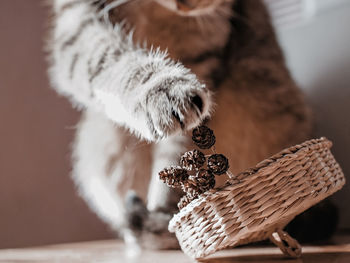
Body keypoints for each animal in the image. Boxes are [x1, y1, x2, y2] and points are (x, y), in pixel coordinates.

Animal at [46, 0, 318, 250]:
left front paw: (171, 214)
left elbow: (178, 153)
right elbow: (109, 59)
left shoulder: (202, 57)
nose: (190, 6)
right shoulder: (78, 16)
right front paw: (158, 89)